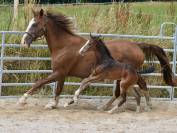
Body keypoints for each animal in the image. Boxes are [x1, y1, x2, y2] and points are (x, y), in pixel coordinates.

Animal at [18, 8, 177, 110]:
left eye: (34, 24)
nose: (23, 41)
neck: (64, 46)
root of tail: (137, 45)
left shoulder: (59, 72)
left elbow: (39, 83)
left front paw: (22, 100)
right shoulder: (61, 74)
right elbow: (58, 89)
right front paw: (54, 104)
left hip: (127, 74)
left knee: (135, 86)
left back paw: (145, 104)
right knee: (126, 89)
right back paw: (109, 106)